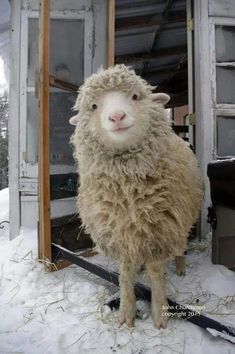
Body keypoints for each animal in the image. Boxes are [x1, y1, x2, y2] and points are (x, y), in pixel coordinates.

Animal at [69, 64, 202, 330]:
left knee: (180, 246)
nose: (117, 117)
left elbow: (156, 271)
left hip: (180, 220)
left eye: (135, 96)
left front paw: (159, 315)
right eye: (93, 106)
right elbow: (125, 272)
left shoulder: (159, 230)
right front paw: (126, 313)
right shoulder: (120, 233)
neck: (128, 192)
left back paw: (180, 266)